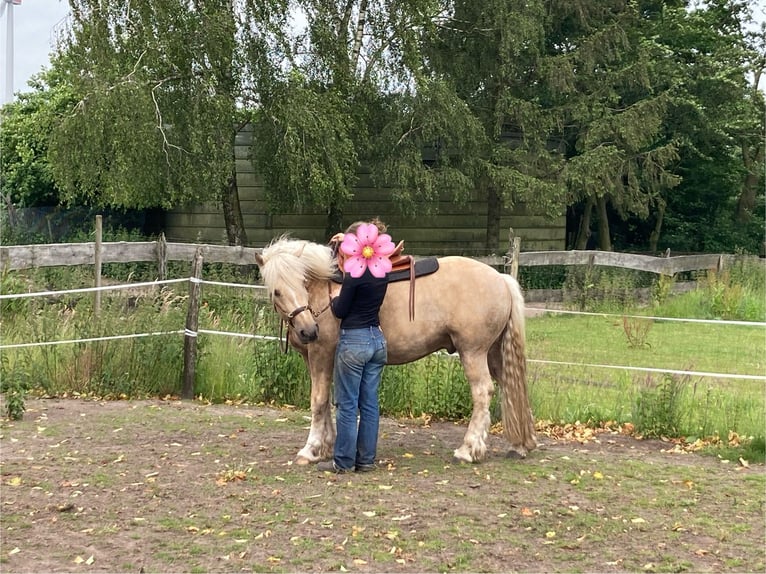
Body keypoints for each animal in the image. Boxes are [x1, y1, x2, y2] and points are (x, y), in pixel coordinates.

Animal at [255, 236, 536, 466]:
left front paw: (310, 449)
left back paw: (468, 450)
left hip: (473, 352)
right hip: (494, 354)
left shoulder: (320, 353)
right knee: (511, 387)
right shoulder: (320, 357)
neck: (322, 288)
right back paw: (520, 445)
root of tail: (502, 279)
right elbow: (328, 401)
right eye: (277, 291)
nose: (308, 330)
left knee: (483, 392)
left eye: (303, 282)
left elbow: (318, 400)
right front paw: (326, 446)